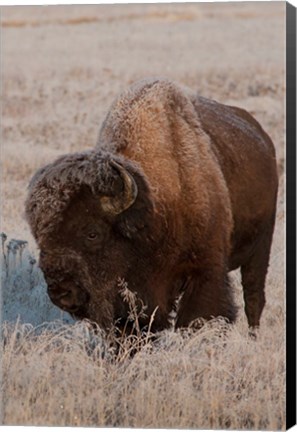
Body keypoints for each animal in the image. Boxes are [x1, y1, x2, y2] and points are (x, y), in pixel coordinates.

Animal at [25, 77, 278, 334]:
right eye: (40, 238)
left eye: (92, 233)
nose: (61, 292)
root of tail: (263, 139)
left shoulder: (204, 270)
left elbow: (196, 317)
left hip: (260, 247)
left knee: (254, 298)